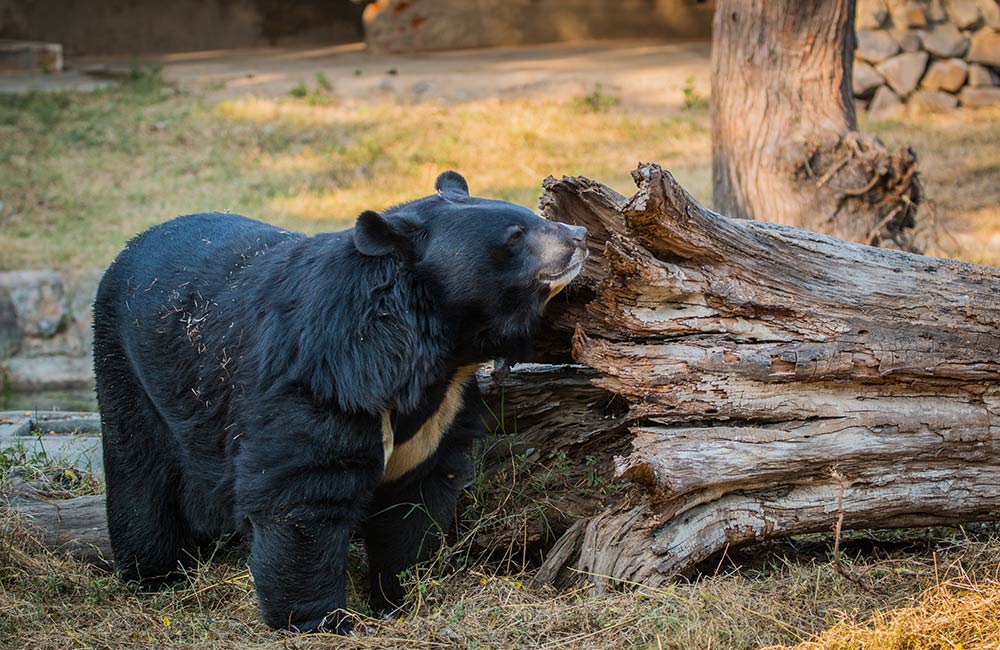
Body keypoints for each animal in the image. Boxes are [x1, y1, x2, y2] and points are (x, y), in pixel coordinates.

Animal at [94, 170, 584, 632]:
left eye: (533, 216)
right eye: (515, 235)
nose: (578, 235)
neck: (438, 348)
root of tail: (136, 243)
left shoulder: (443, 409)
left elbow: (416, 499)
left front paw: (399, 598)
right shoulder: (324, 380)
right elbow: (304, 493)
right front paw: (324, 620)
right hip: (128, 366)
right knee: (140, 471)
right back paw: (157, 575)